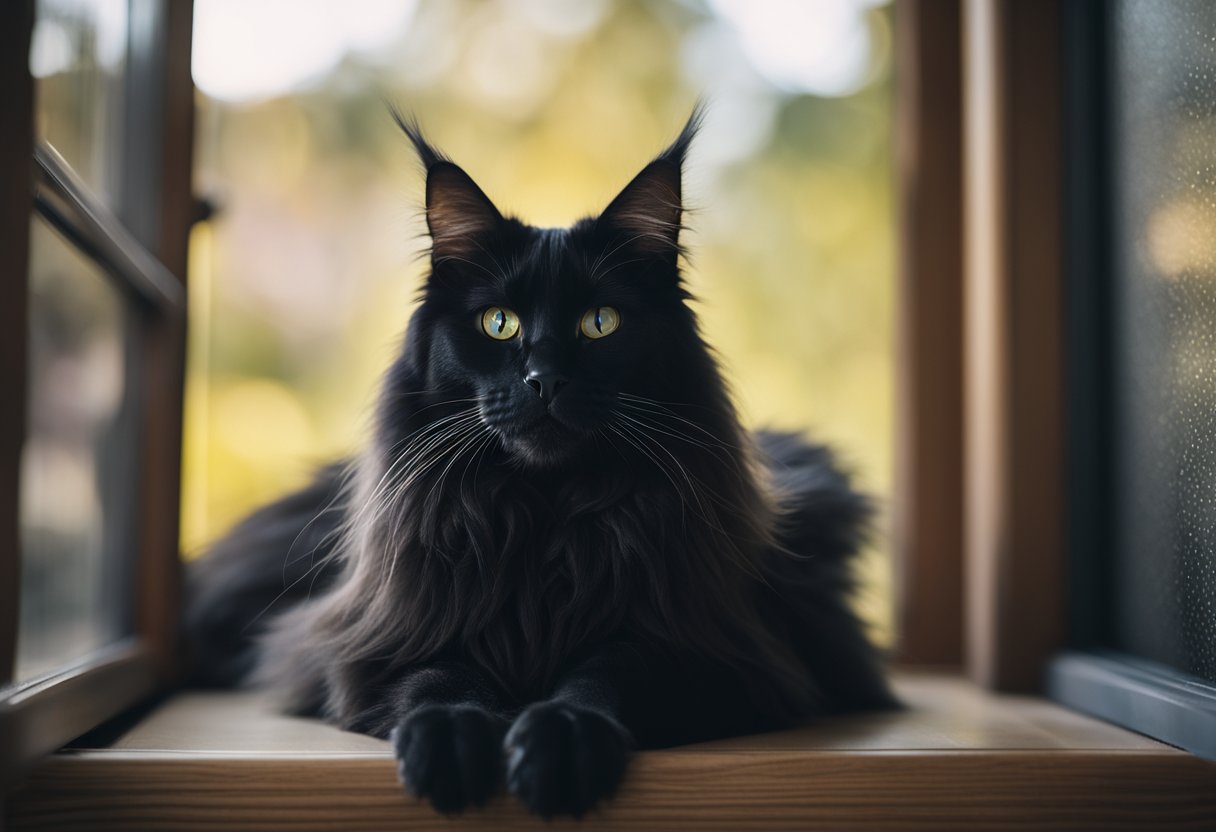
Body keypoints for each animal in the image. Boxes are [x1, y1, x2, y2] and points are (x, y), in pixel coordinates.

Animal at [184, 110, 899, 817]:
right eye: (498, 323)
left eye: (600, 322)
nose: (545, 380)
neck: (544, 523)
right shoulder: (371, 641)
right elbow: (440, 675)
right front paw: (451, 742)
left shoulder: (722, 655)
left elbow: (608, 670)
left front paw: (563, 741)